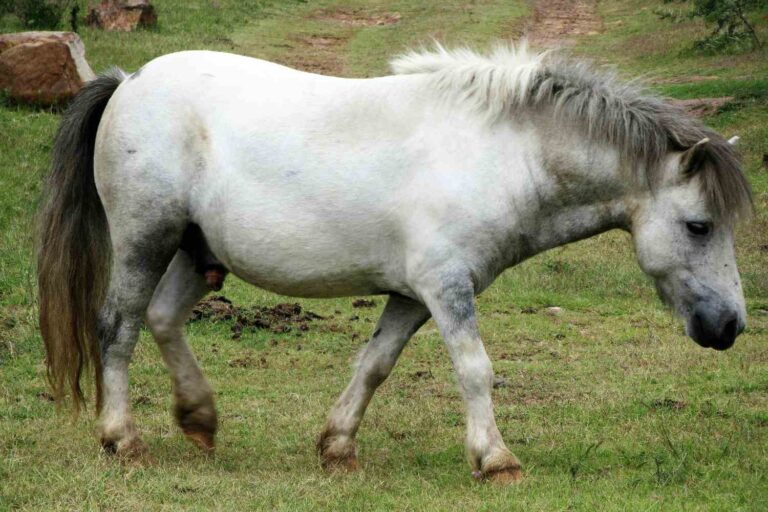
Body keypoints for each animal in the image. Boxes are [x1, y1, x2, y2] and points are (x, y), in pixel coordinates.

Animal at [37, 43, 752, 483]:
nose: (731, 328)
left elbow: (375, 364)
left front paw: (337, 447)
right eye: (699, 226)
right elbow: (474, 368)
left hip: (196, 251)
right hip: (145, 240)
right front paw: (495, 460)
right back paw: (122, 438)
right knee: (118, 328)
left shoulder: (413, 294)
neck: (499, 154)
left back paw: (200, 419)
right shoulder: (447, 287)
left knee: (161, 320)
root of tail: (129, 82)